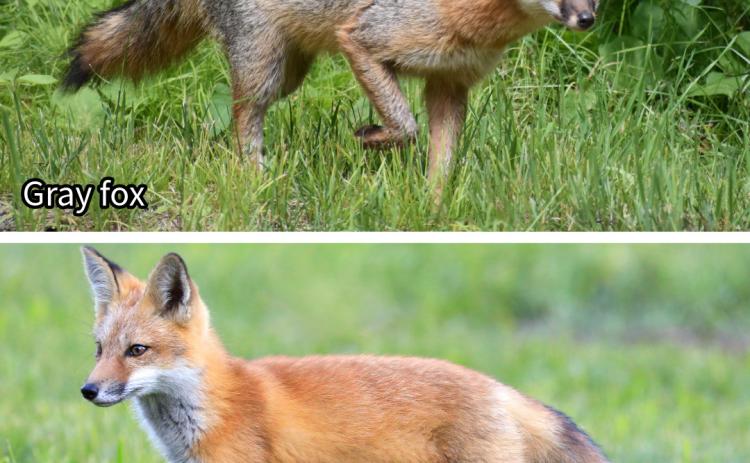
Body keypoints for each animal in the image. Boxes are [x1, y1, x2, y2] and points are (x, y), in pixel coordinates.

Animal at [63, 0, 597, 192]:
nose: (588, 19)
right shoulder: (361, 39)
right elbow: (405, 127)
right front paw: (369, 138)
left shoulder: (449, 83)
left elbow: (441, 158)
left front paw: (434, 205)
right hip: (264, 68)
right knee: (243, 116)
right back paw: (256, 175)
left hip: (289, 74)